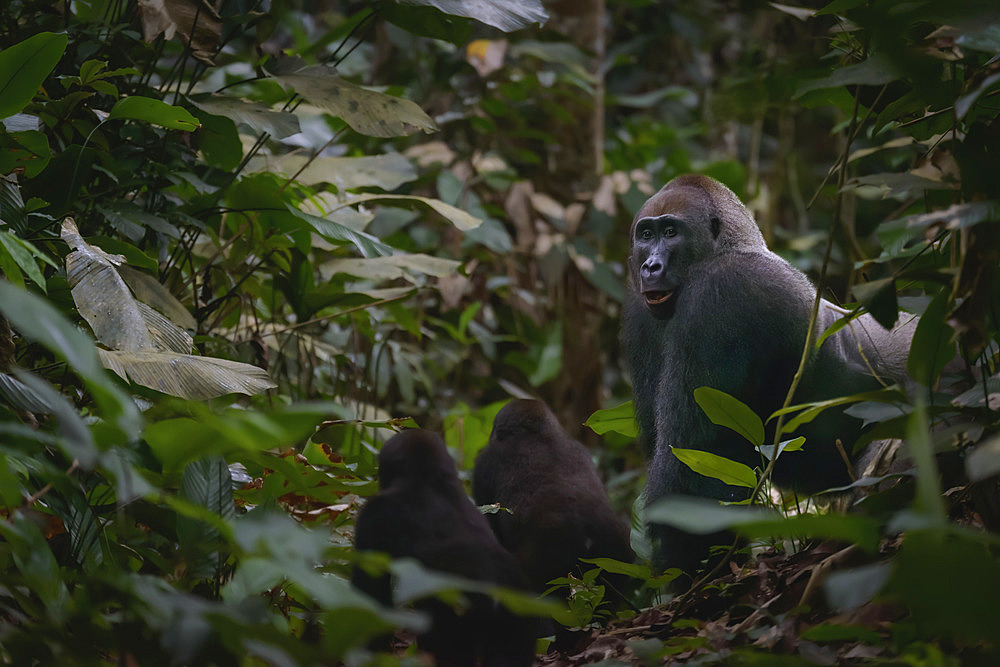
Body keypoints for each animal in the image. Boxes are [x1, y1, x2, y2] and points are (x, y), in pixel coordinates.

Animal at [620, 175, 916, 576]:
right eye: (646, 235)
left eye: (670, 232)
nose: (650, 266)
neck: (730, 247)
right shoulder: (642, 315)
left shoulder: (723, 292)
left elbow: (691, 468)